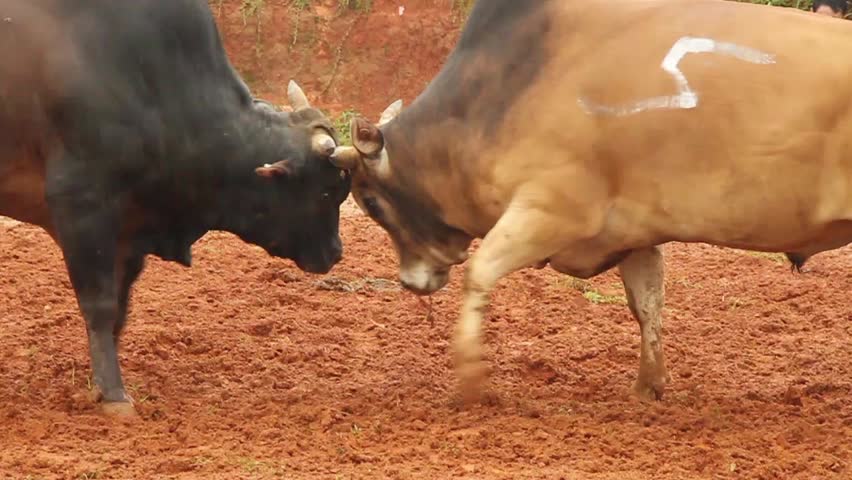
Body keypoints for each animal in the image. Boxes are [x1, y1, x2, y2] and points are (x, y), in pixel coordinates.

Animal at [0, 0, 351, 416]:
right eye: (327, 192)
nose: (336, 252)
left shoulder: (129, 234)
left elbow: (120, 307)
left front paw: (98, 383)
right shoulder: (81, 207)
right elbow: (100, 305)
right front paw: (114, 395)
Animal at [329, 0, 852, 404]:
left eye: (370, 202)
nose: (409, 282)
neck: (503, 94)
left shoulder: (549, 211)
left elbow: (479, 273)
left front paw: (471, 382)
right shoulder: (635, 235)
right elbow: (647, 304)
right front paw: (648, 387)